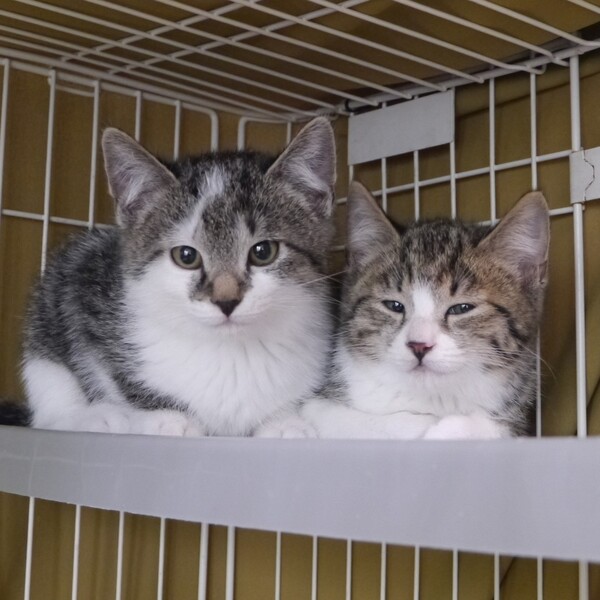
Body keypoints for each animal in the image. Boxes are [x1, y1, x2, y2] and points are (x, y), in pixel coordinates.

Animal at [6, 117, 337, 436]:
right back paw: (99, 418)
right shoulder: (81, 282)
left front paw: (283, 423)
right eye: (186, 256)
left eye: (263, 251)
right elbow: (113, 373)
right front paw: (167, 419)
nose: (226, 301)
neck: (230, 351)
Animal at [285, 181, 550, 440]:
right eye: (394, 305)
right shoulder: (318, 405)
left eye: (461, 308)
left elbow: (502, 427)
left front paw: (458, 428)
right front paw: (430, 427)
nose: (419, 345)